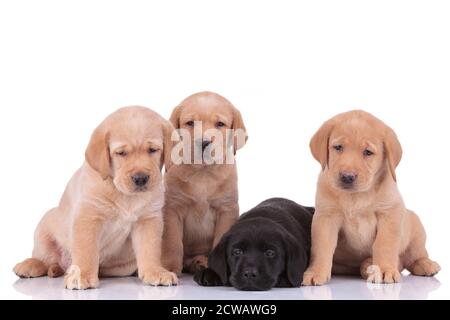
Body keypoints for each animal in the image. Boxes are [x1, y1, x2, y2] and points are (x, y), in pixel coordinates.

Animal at [13, 106, 178, 288]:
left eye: (153, 150)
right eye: (121, 153)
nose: (140, 178)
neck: (123, 194)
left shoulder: (148, 220)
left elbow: (150, 249)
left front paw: (155, 272)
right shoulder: (88, 217)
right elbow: (86, 250)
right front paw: (83, 275)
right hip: (45, 224)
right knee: (44, 258)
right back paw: (29, 265)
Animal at [162, 91, 248, 274]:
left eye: (220, 124)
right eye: (190, 123)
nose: (203, 142)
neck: (203, 173)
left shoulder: (226, 210)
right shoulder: (172, 207)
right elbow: (172, 243)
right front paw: (169, 268)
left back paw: (200, 262)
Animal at [302, 110, 440, 284]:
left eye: (367, 152)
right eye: (338, 147)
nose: (347, 176)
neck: (356, 196)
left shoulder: (389, 213)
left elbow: (384, 244)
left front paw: (385, 270)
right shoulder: (326, 217)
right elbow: (322, 247)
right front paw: (316, 272)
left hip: (415, 227)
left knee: (413, 256)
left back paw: (425, 264)